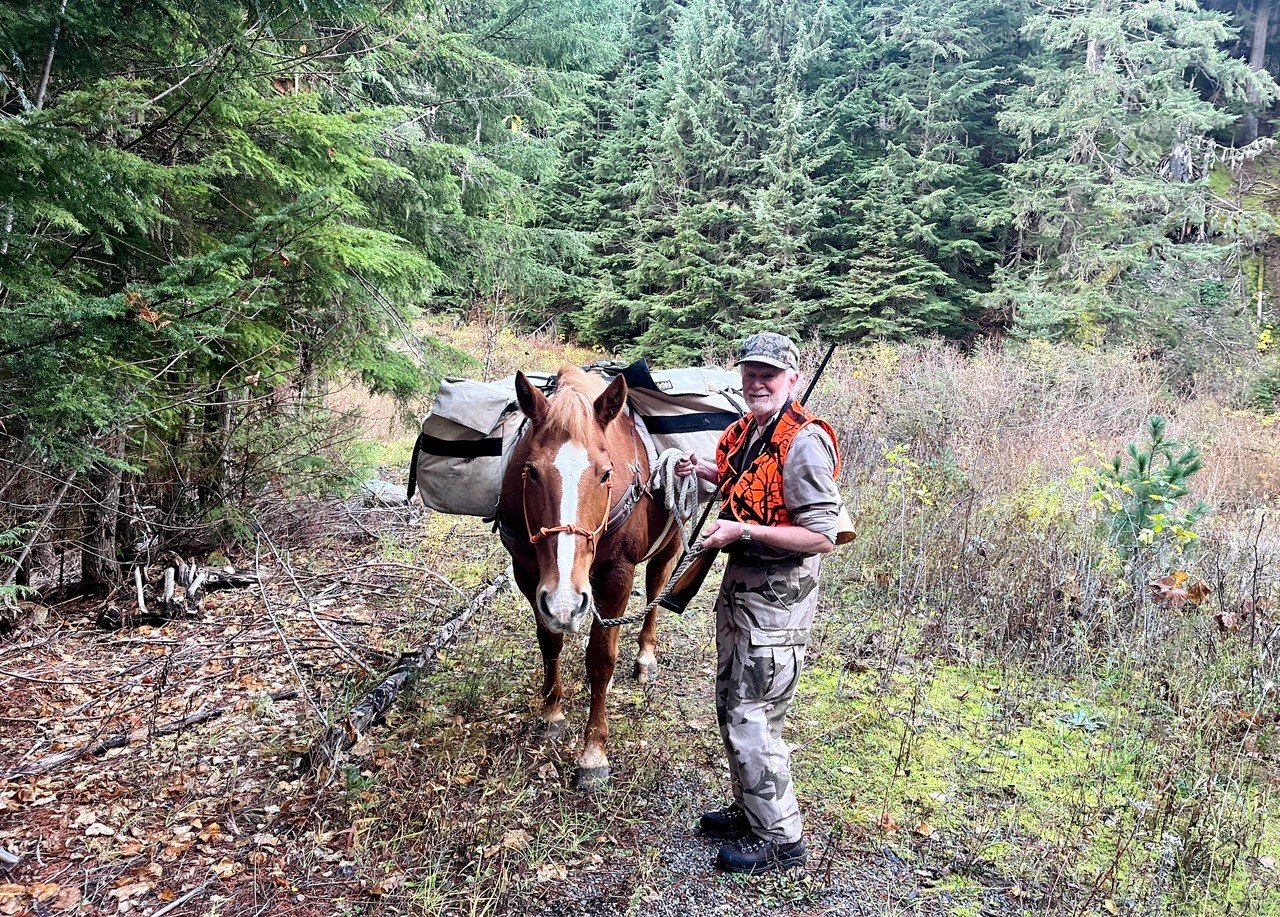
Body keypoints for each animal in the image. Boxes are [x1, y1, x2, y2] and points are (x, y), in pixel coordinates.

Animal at [496, 366, 686, 788]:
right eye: (531, 472)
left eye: (605, 474)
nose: (566, 600)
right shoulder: (530, 576)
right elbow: (549, 642)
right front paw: (551, 712)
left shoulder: (617, 575)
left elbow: (601, 657)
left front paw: (593, 753)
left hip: (669, 545)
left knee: (656, 587)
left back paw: (645, 657)